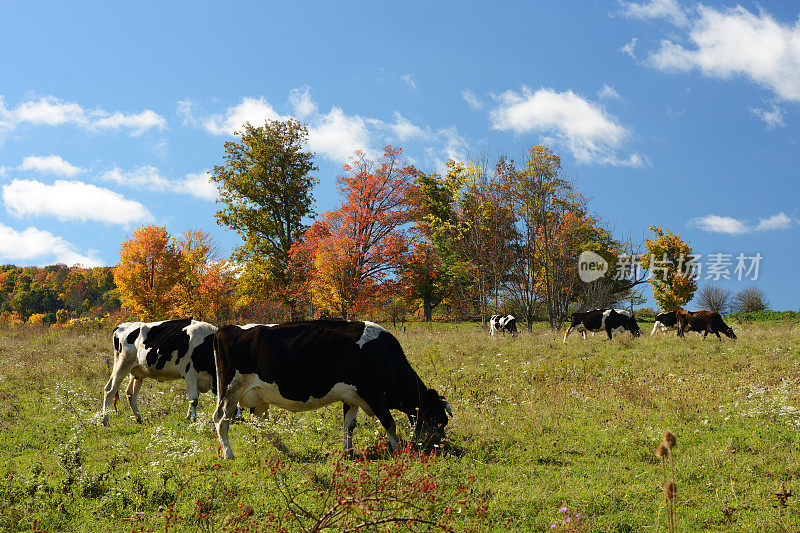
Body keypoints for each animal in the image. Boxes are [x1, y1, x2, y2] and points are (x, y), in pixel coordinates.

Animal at [211, 318, 450, 460]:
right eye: (438, 419)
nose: (440, 445)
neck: (385, 356)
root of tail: (226, 329)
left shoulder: (352, 397)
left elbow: (349, 425)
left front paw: (347, 452)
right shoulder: (374, 394)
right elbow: (389, 423)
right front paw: (399, 451)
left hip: (259, 396)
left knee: (261, 424)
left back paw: (286, 451)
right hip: (231, 390)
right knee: (221, 419)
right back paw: (229, 455)